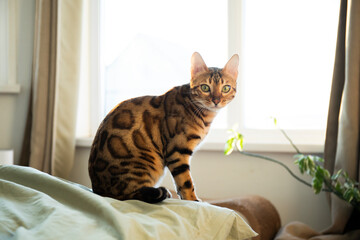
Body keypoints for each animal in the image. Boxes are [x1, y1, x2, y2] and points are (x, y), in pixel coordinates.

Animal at [88, 52, 239, 202]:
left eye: (226, 88)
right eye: (205, 87)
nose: (216, 100)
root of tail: (97, 189)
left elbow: (180, 185)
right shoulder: (177, 150)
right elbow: (186, 182)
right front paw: (193, 200)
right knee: (128, 196)